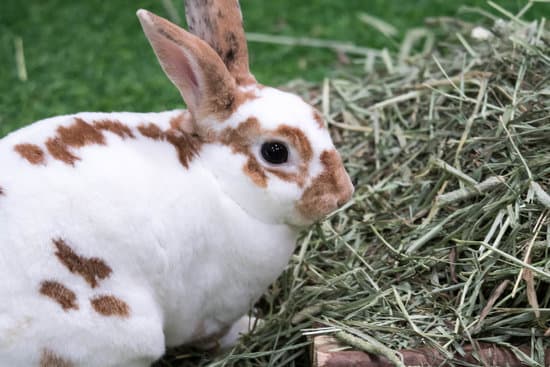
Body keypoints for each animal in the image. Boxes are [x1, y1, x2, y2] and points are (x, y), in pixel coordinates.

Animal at [0, 1, 354, 366]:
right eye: (275, 151)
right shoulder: (209, 310)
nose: (342, 193)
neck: (221, 183)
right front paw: (252, 326)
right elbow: (216, 334)